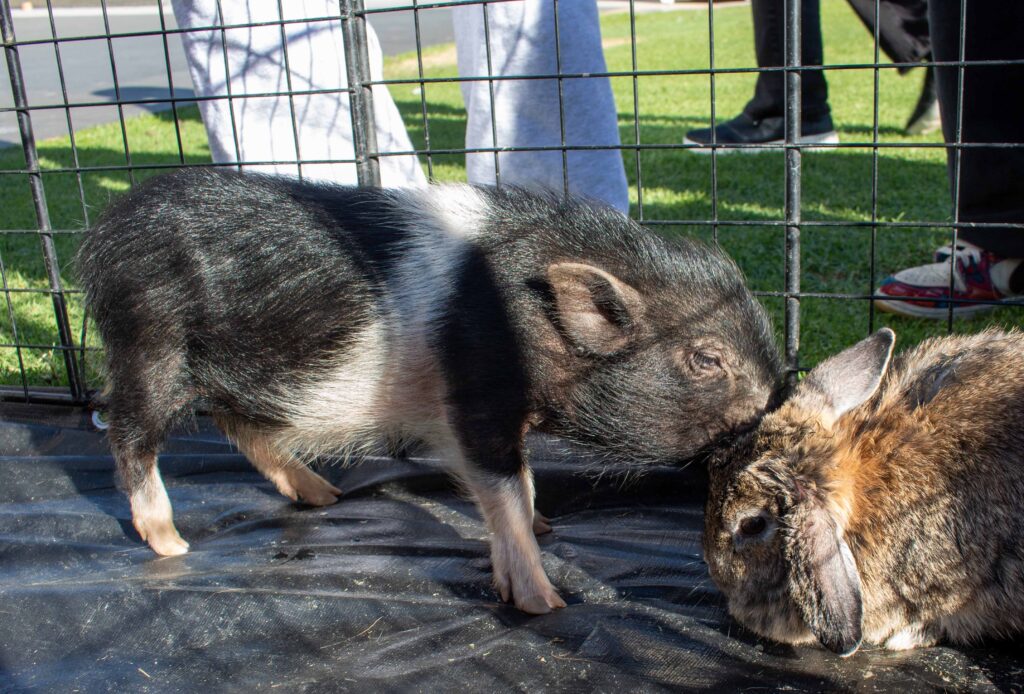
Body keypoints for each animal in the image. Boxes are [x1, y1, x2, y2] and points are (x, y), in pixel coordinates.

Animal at [77, 168, 782, 615]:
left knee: (238, 423)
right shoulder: (474, 397)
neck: (521, 319)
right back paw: (172, 543)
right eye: (708, 358)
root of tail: (110, 230)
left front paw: (547, 525)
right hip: (150, 341)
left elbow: (521, 482)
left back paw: (324, 496)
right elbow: (501, 487)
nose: (773, 407)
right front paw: (545, 603)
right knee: (129, 429)